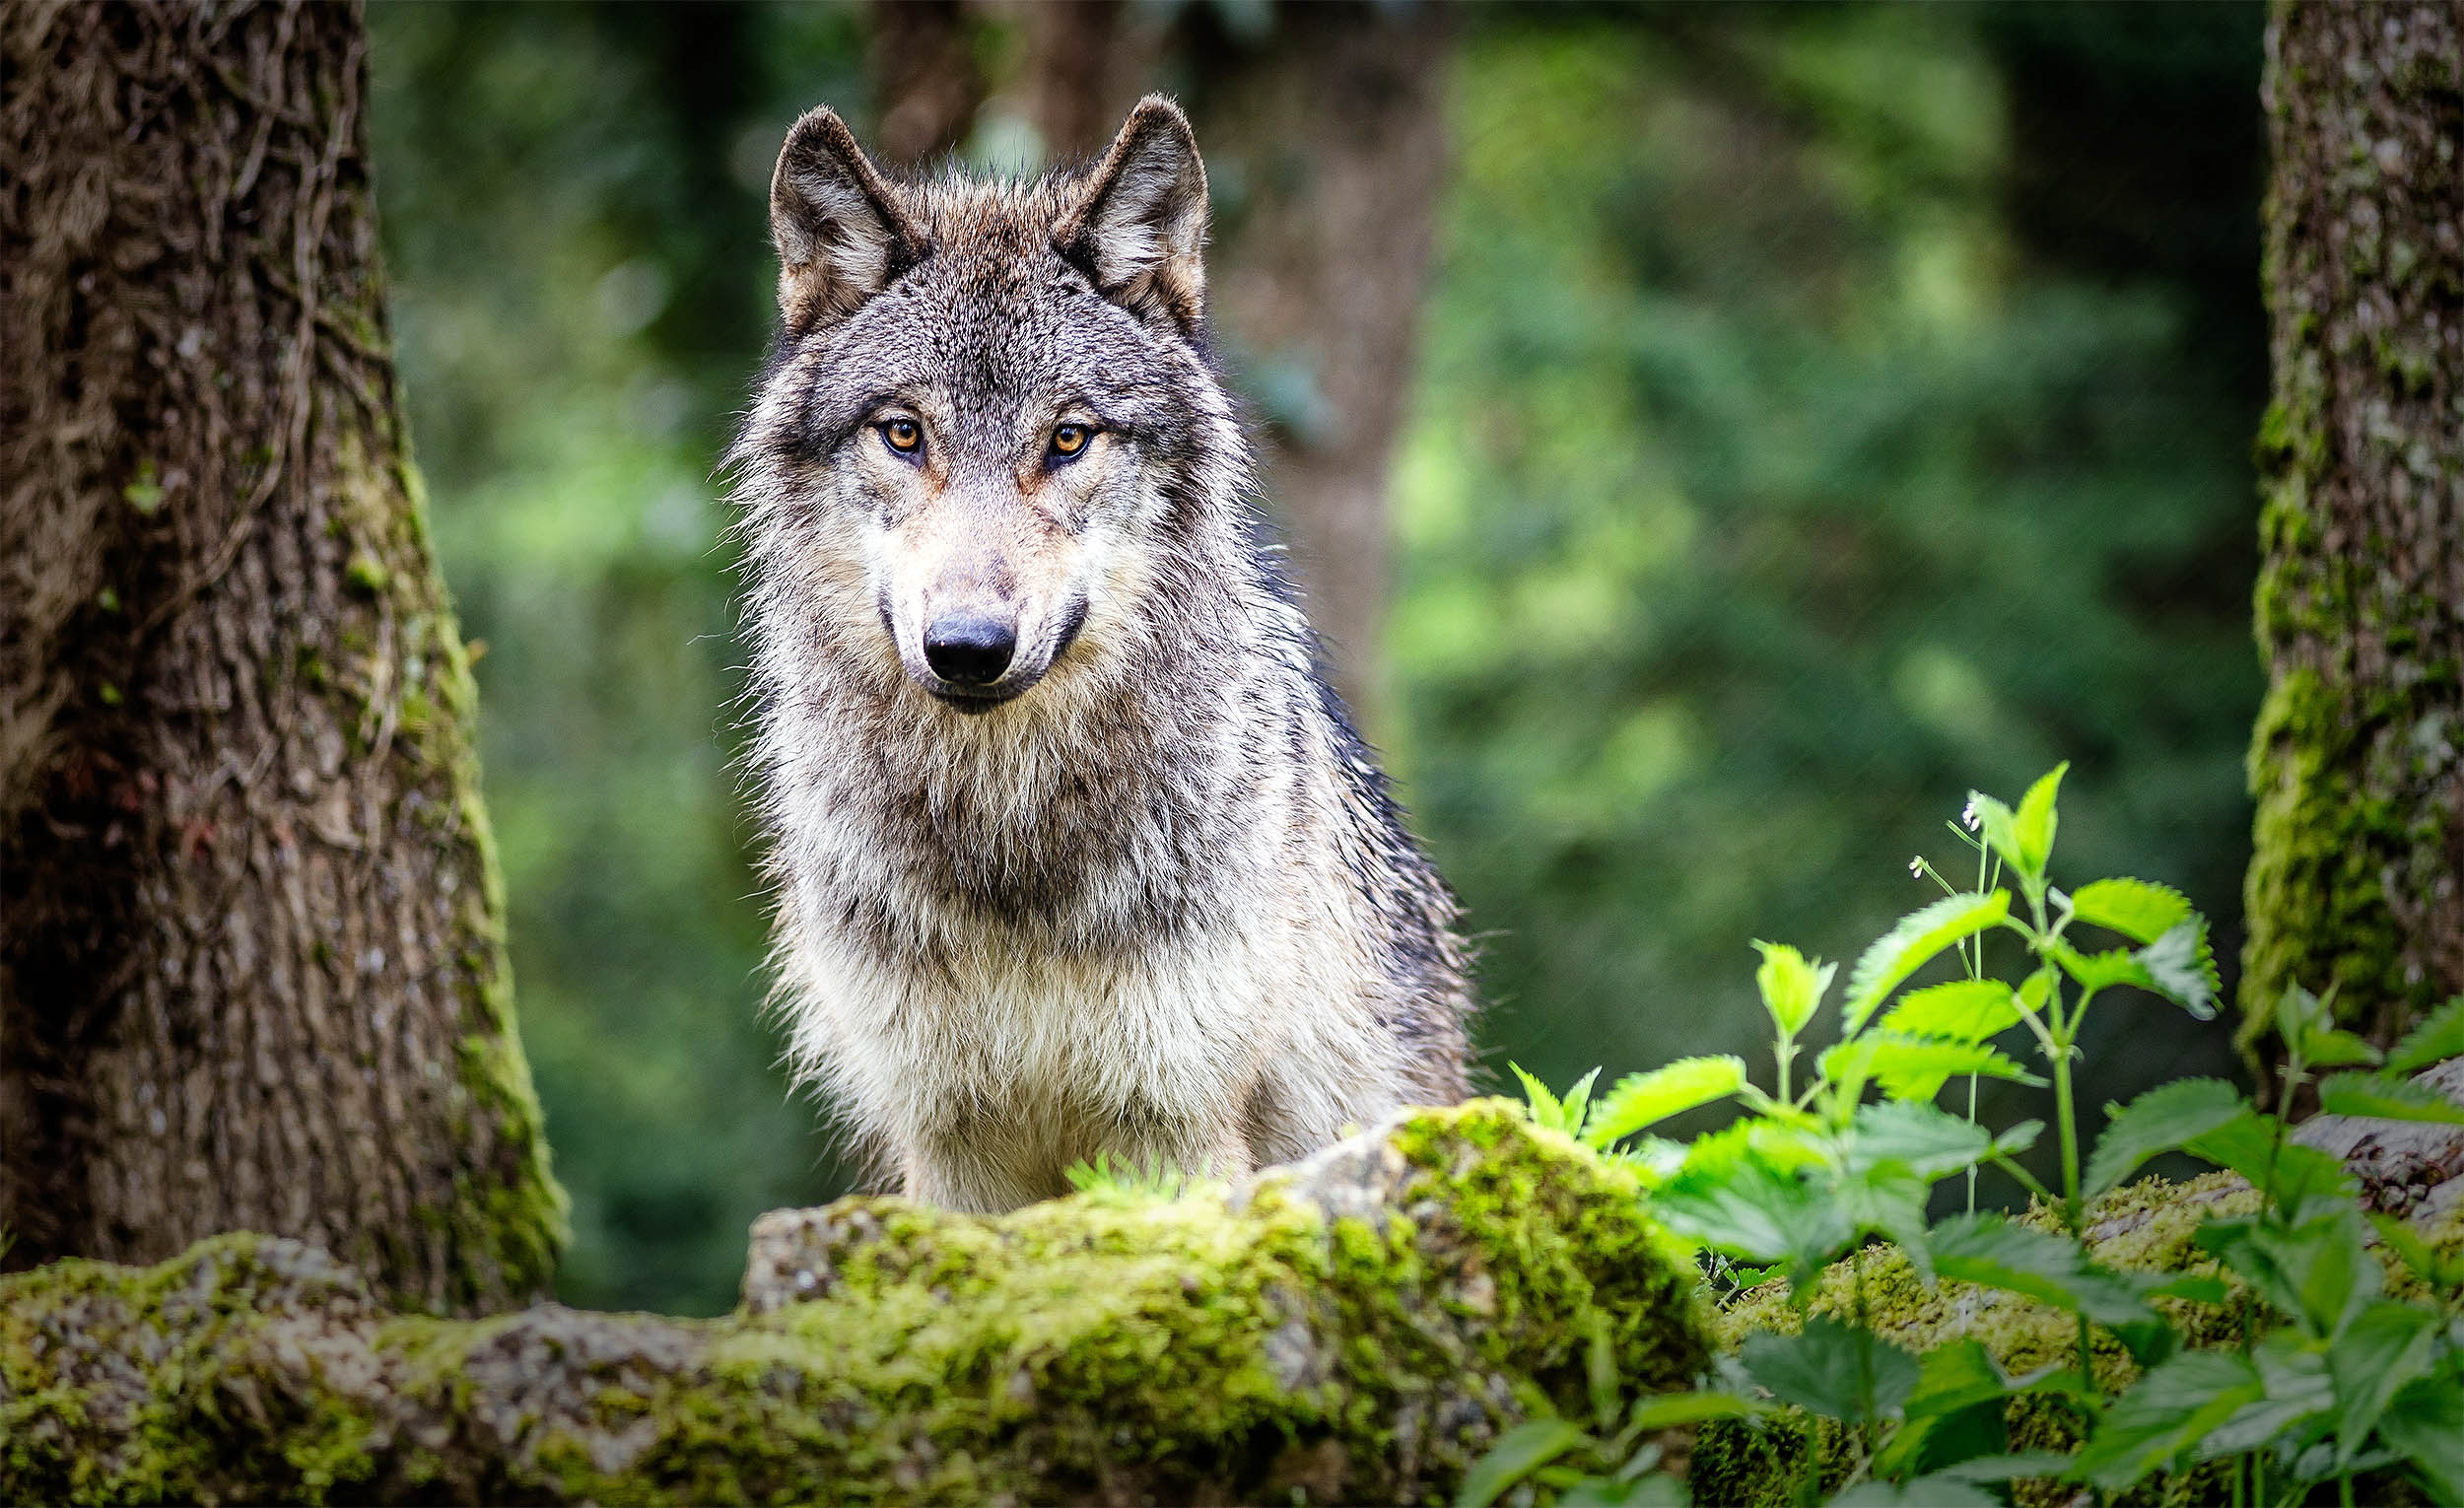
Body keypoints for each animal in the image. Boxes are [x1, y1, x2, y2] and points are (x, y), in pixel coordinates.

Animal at [729, 96, 1474, 1213]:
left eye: (1069, 438)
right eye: (903, 434)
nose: (967, 648)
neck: (1009, 845)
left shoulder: (1171, 1126)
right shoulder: (947, 1143)